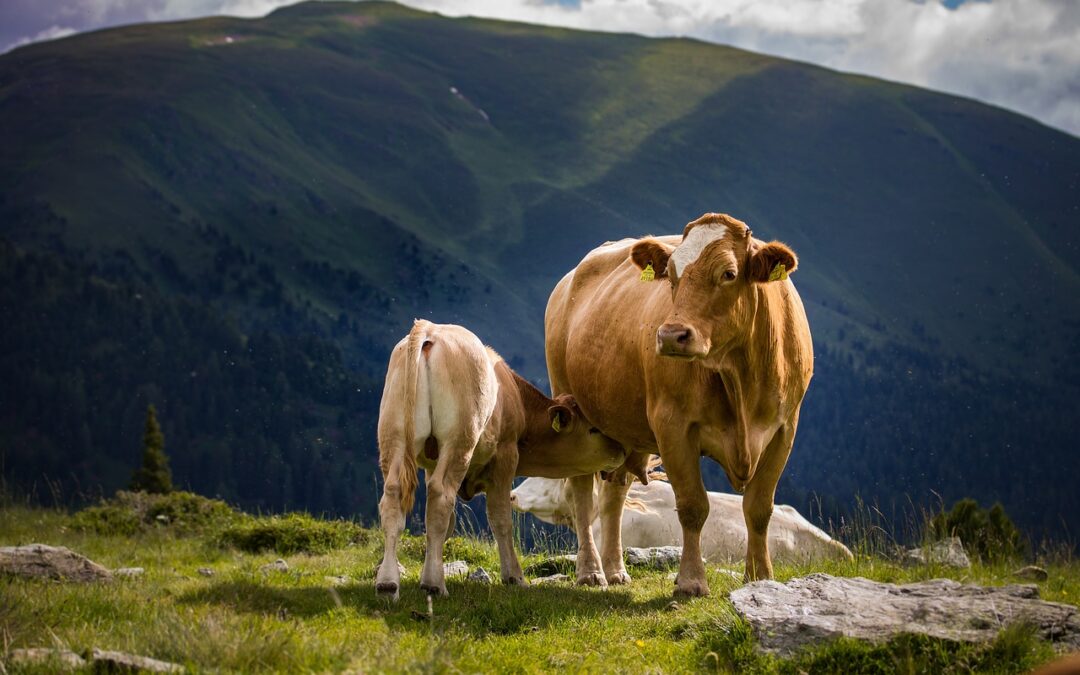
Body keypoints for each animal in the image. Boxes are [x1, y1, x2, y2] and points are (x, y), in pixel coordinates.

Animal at [375, 317, 626, 596]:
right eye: (593, 429)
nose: (621, 449)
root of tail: (430, 330)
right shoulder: (506, 457)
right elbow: (500, 518)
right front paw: (514, 576)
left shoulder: (431, 463)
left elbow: (445, 524)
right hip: (459, 440)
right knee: (440, 495)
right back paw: (433, 585)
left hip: (393, 436)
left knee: (393, 496)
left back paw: (387, 583)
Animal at [544, 211, 812, 596]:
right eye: (670, 274)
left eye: (728, 273)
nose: (672, 335)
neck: (740, 378)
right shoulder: (673, 425)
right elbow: (692, 506)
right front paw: (690, 581)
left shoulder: (784, 429)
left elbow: (759, 507)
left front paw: (760, 577)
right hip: (570, 403)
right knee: (582, 493)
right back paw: (591, 572)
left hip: (622, 429)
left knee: (614, 494)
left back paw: (615, 569)